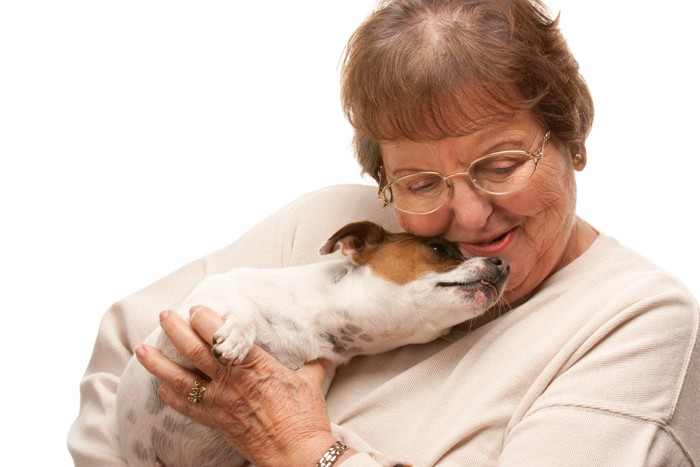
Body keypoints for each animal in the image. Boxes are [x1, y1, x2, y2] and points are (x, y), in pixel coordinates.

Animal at [116, 221, 508, 466]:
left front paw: (379, 457)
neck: (315, 321)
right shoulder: (173, 336)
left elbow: (337, 431)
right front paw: (239, 334)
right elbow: (245, 310)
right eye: (438, 247)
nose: (503, 262)